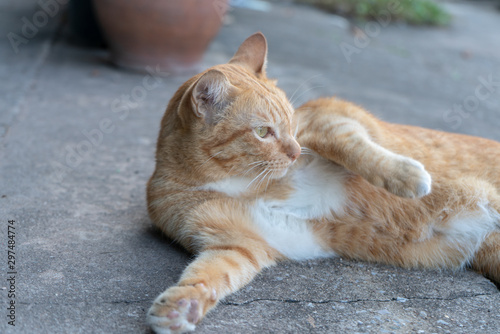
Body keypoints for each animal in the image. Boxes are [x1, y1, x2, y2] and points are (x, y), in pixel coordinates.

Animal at [146, 32, 500, 332]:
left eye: (291, 122)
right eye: (262, 132)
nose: (295, 152)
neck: (245, 183)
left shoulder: (329, 117)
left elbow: (355, 149)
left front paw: (408, 177)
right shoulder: (237, 243)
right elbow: (208, 275)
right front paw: (182, 305)